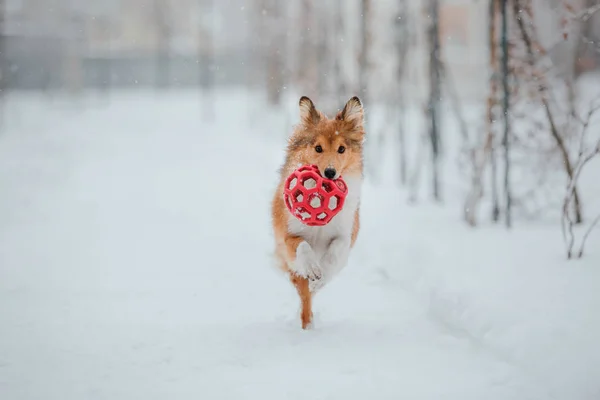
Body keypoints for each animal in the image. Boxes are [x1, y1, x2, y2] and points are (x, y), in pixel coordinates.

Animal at [272, 96, 366, 328]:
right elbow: (303, 246)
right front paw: (314, 269)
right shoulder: (289, 234)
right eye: (318, 148)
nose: (330, 172)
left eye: (341, 149)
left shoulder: (345, 233)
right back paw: (307, 324)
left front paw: (320, 277)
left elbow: (335, 252)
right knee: (304, 297)